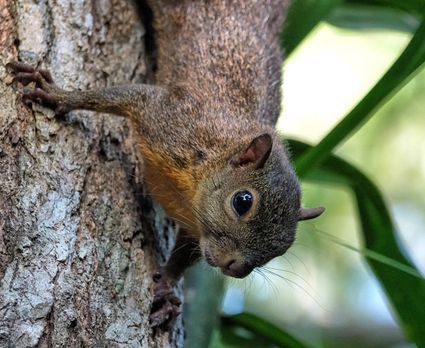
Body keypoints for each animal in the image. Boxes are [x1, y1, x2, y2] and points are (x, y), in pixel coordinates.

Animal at [6, 0, 322, 326]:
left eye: (281, 248)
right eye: (242, 201)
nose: (236, 268)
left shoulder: (196, 228)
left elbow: (185, 252)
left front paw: (168, 285)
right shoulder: (169, 119)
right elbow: (118, 96)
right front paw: (59, 95)